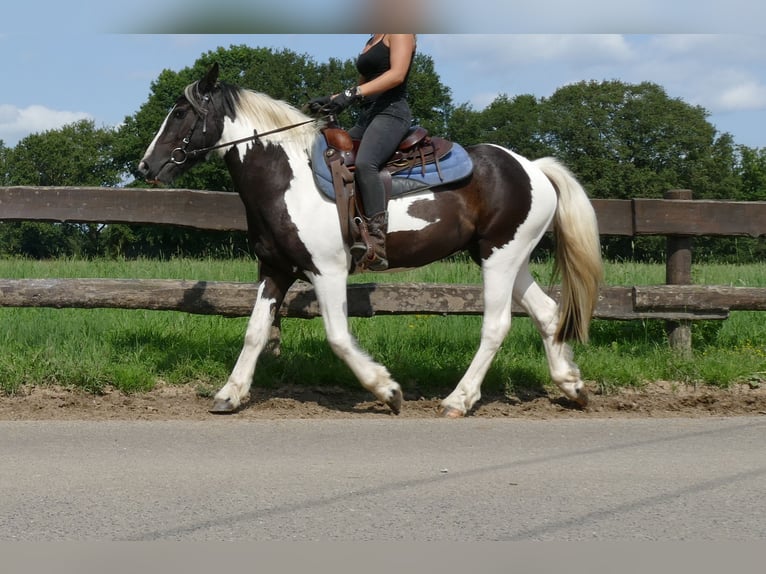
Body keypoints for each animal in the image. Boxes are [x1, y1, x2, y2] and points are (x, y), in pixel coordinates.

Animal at [140, 64, 608, 418]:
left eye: (180, 113)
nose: (146, 166)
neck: (286, 178)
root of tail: (533, 167)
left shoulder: (326, 271)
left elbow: (338, 337)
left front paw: (387, 390)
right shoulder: (275, 270)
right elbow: (255, 333)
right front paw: (230, 394)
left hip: (500, 258)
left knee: (496, 326)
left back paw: (458, 400)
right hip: (506, 257)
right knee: (547, 314)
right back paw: (572, 386)